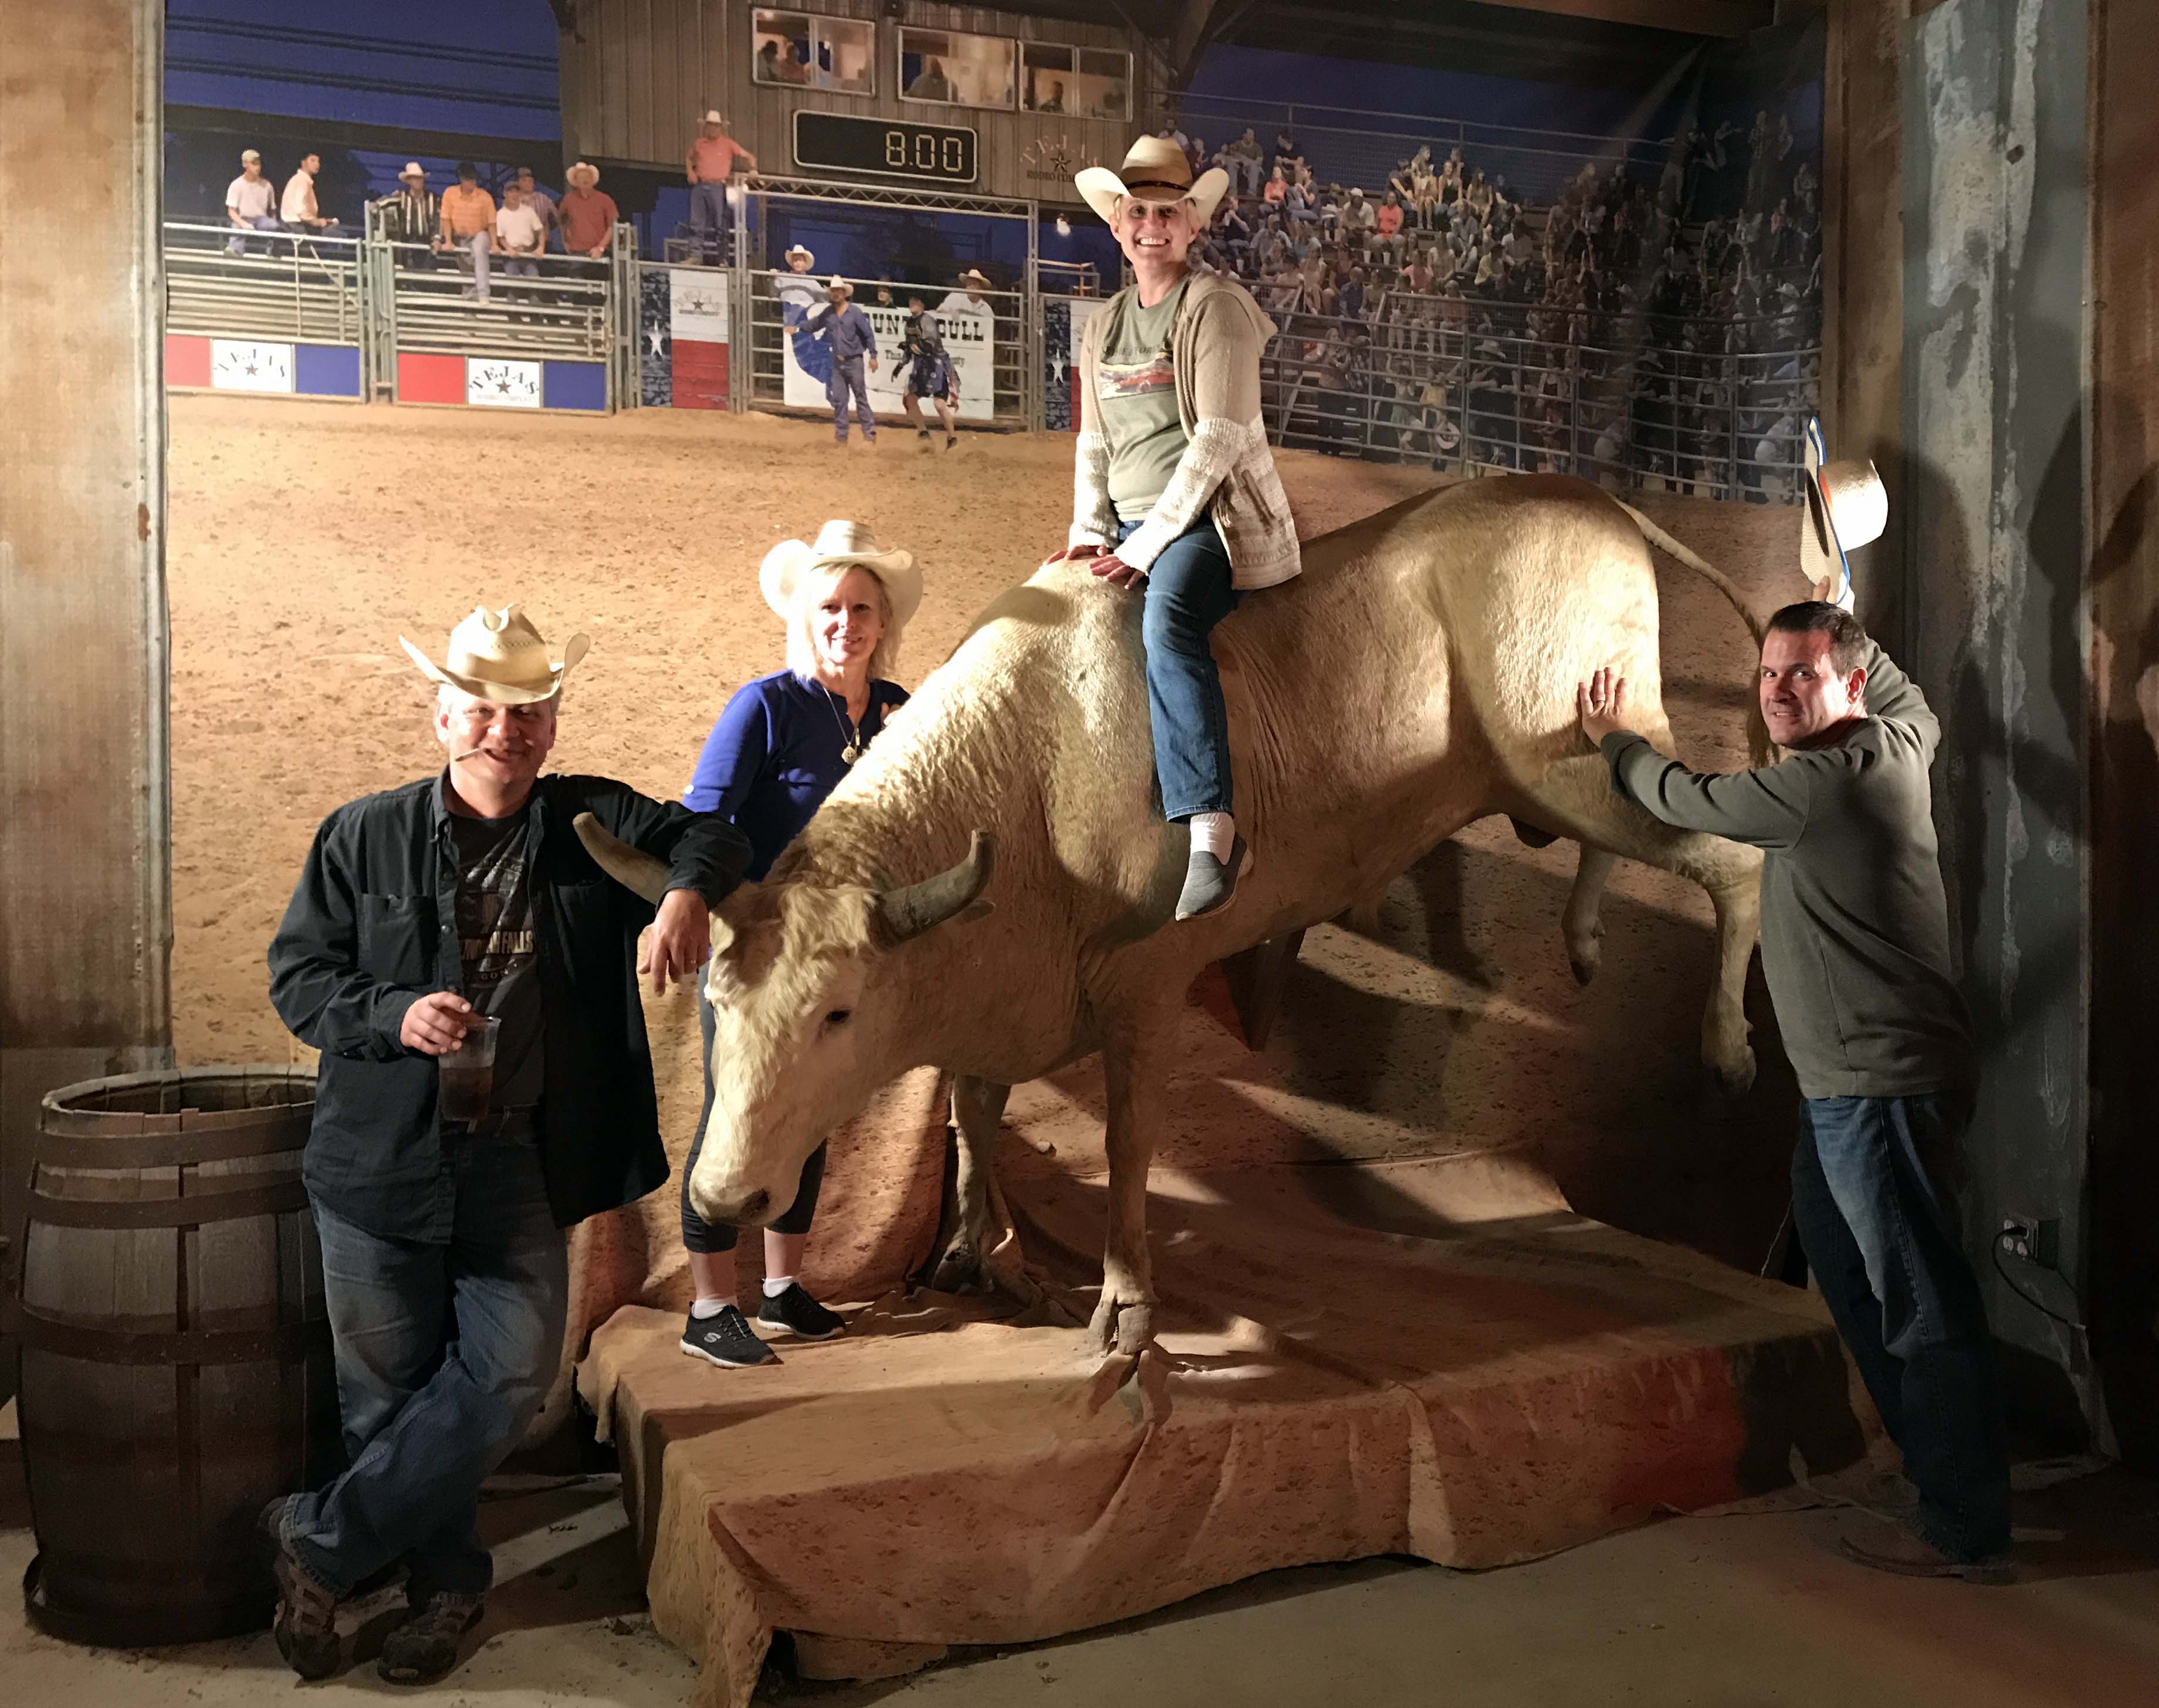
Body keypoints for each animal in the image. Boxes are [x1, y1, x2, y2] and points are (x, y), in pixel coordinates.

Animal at [578, 476, 1767, 1360]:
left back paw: (1728, 1048)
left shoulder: (1143, 990)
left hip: (1563, 753)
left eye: (837, 1013)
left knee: (1732, 857)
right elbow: (971, 1110)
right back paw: (1584, 943)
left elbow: (1128, 1138)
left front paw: (1126, 1308)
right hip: (1553, 774)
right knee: (1629, 830)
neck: (1028, 776)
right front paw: (971, 1253)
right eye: (718, 1002)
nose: (724, 1191)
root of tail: (1593, 500)